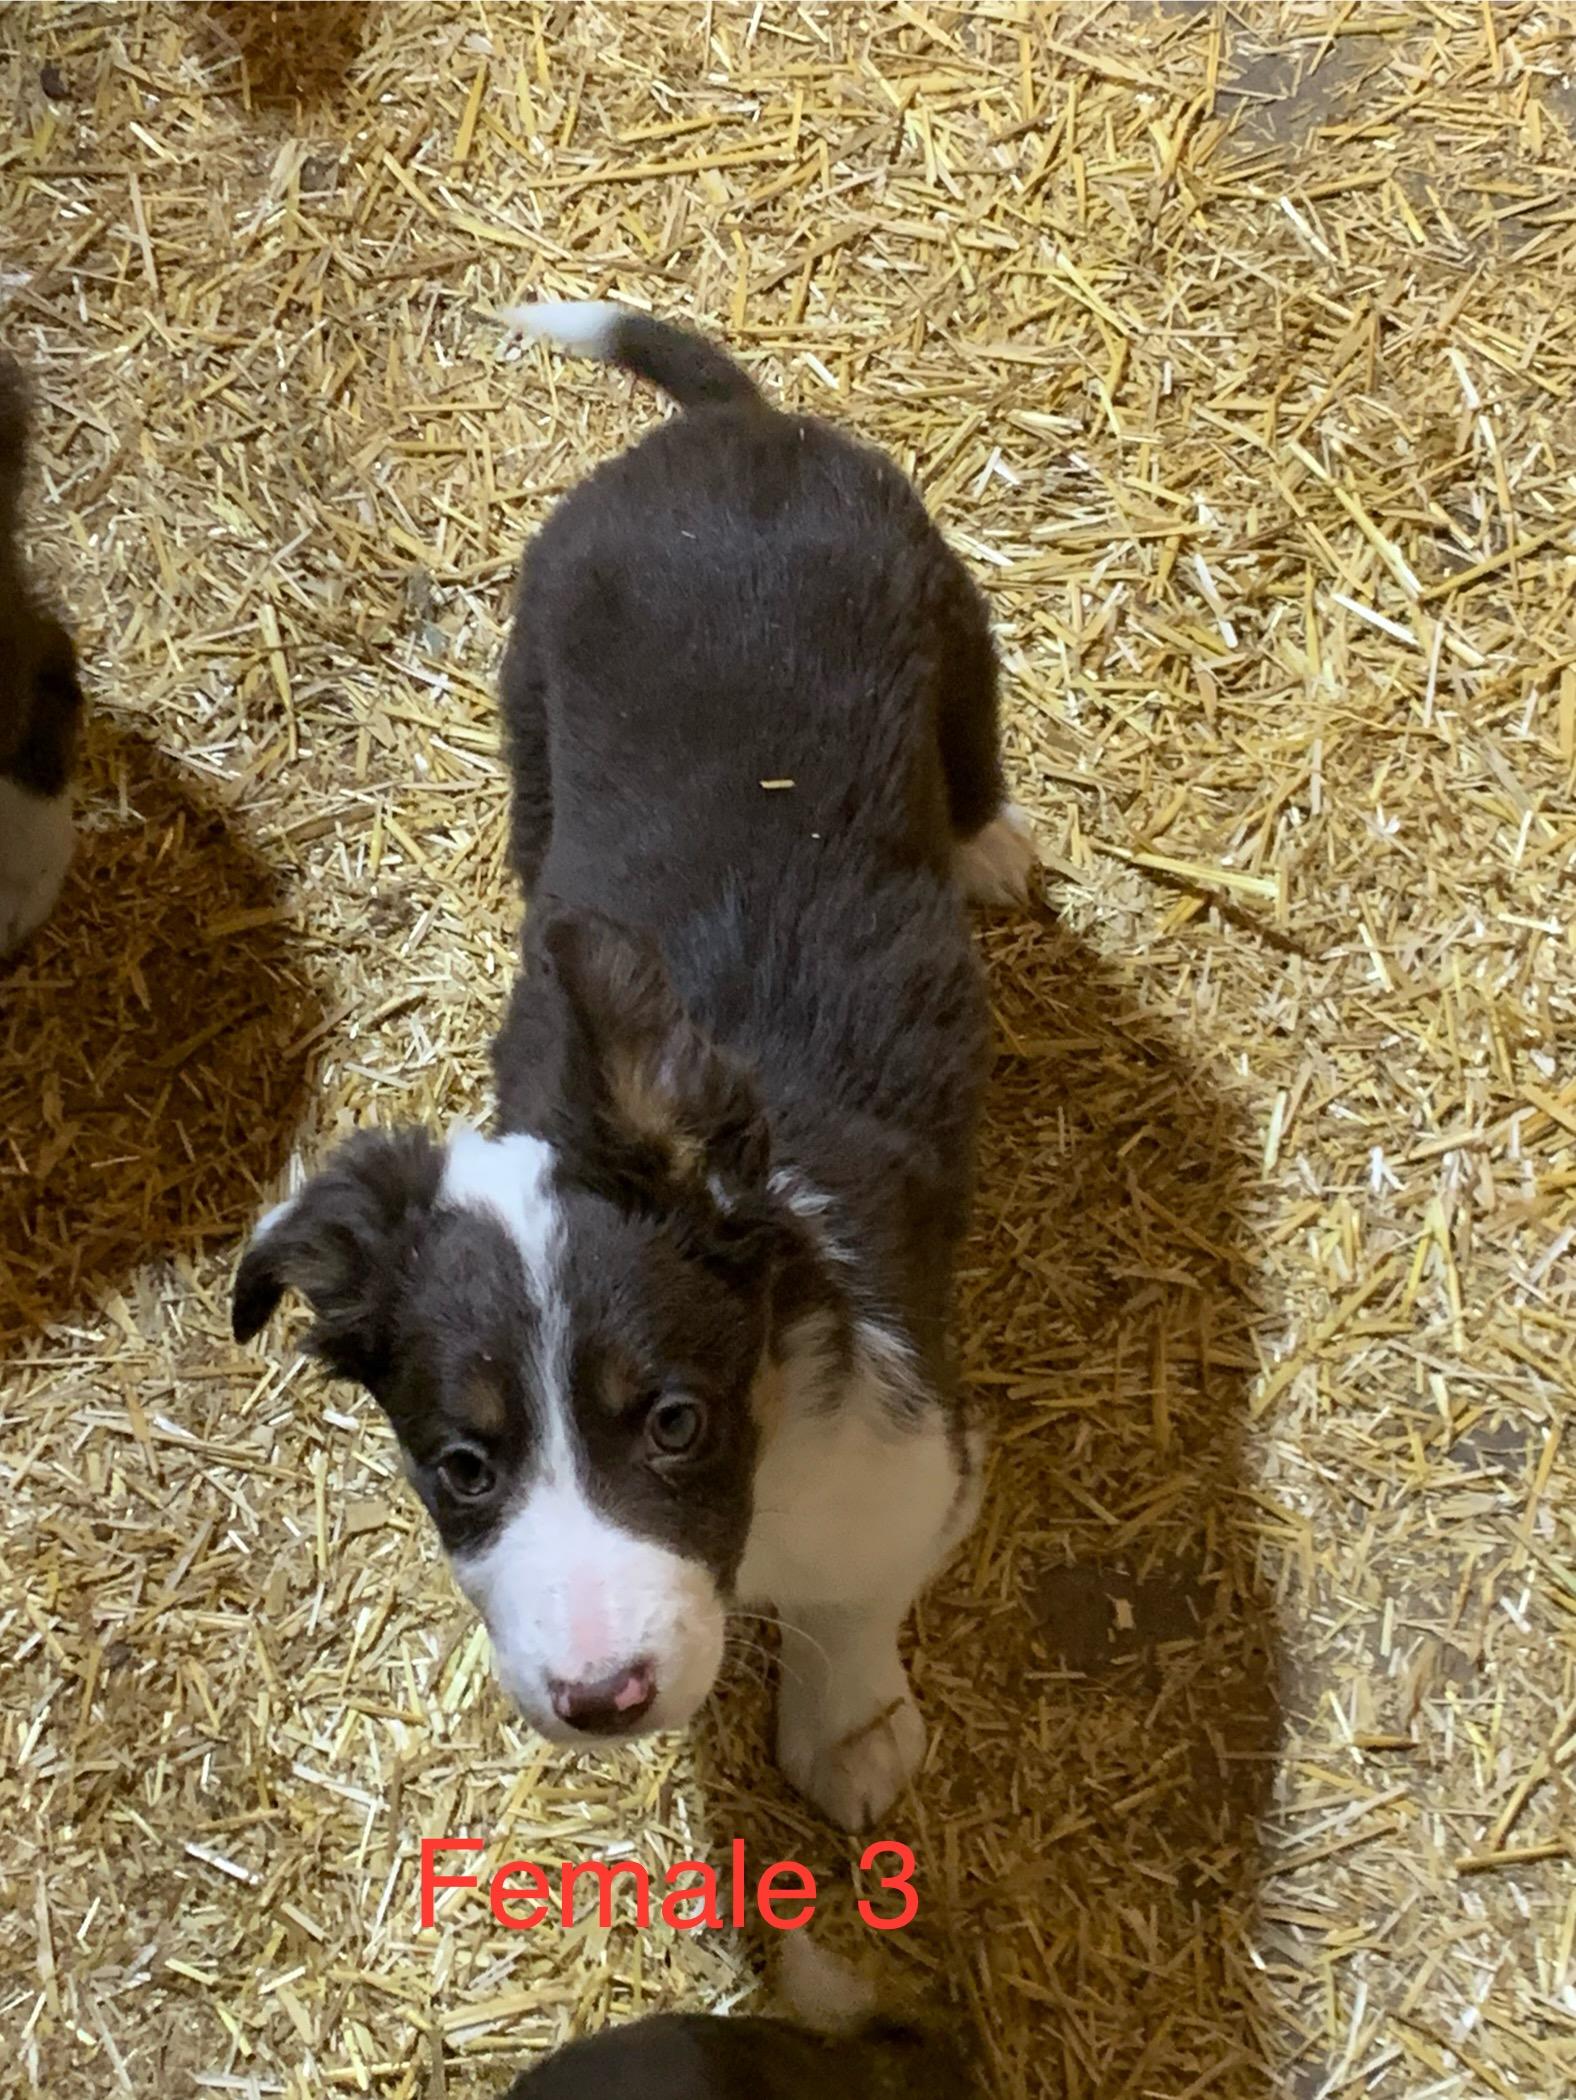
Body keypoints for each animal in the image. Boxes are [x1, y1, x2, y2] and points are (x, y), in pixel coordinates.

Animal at [234, 304, 1042, 1831]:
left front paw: (850, 1738)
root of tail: (729, 430)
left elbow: (854, 1614)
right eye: (463, 1467)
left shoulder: (917, 1472)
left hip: (953, 628)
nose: (601, 1699)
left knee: (971, 765)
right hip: (530, 690)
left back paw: (993, 848)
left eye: (672, 1420)